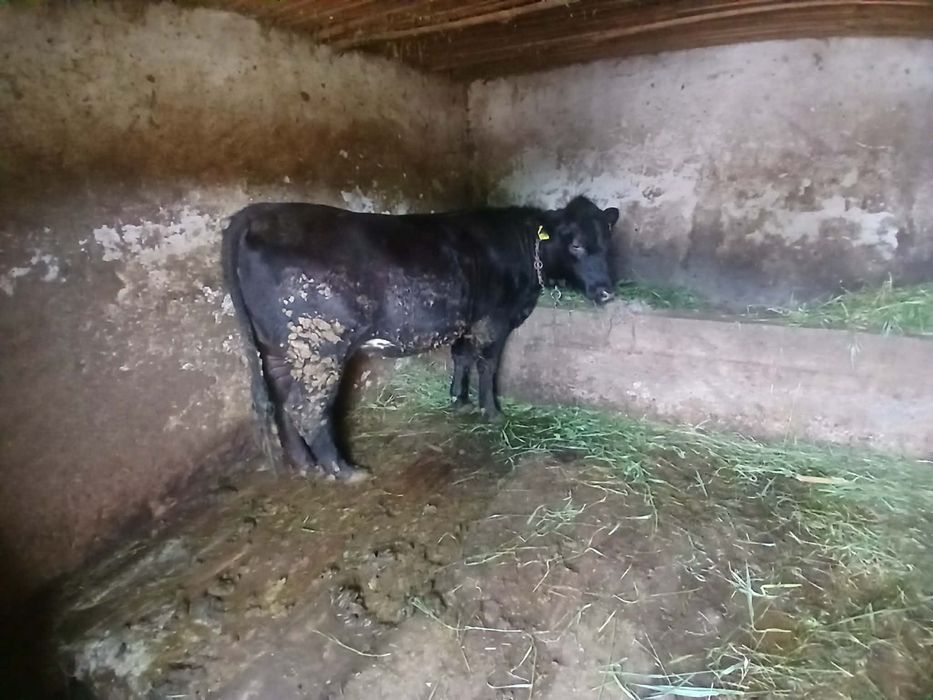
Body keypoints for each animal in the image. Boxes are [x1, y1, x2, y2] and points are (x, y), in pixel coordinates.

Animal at [221, 195, 618, 482]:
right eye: (576, 245)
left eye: (607, 241)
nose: (606, 291)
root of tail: (259, 212)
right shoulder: (494, 318)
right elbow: (487, 364)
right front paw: (491, 410)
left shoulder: (467, 317)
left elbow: (461, 356)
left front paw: (459, 400)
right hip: (318, 344)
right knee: (306, 408)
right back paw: (344, 471)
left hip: (279, 349)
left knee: (282, 400)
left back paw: (306, 465)